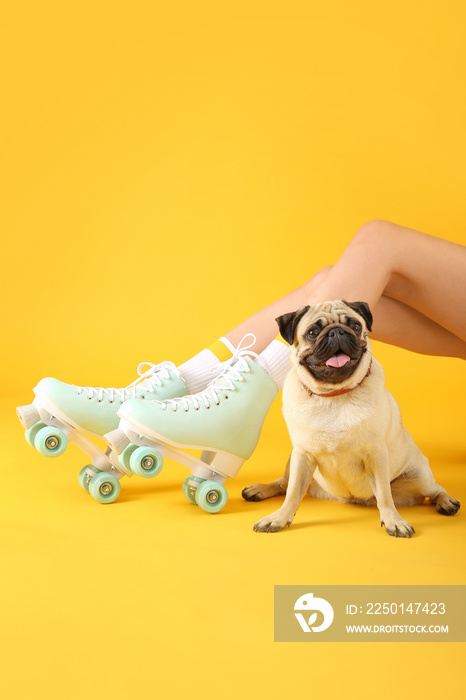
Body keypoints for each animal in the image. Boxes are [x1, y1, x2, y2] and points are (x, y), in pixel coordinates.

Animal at [242, 300, 460, 536]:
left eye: (355, 326)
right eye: (312, 333)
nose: (337, 332)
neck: (333, 396)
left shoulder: (376, 454)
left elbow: (385, 495)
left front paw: (394, 520)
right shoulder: (302, 454)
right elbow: (292, 493)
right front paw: (279, 518)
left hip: (420, 476)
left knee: (434, 490)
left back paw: (446, 502)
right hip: (293, 460)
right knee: (284, 484)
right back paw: (259, 489)